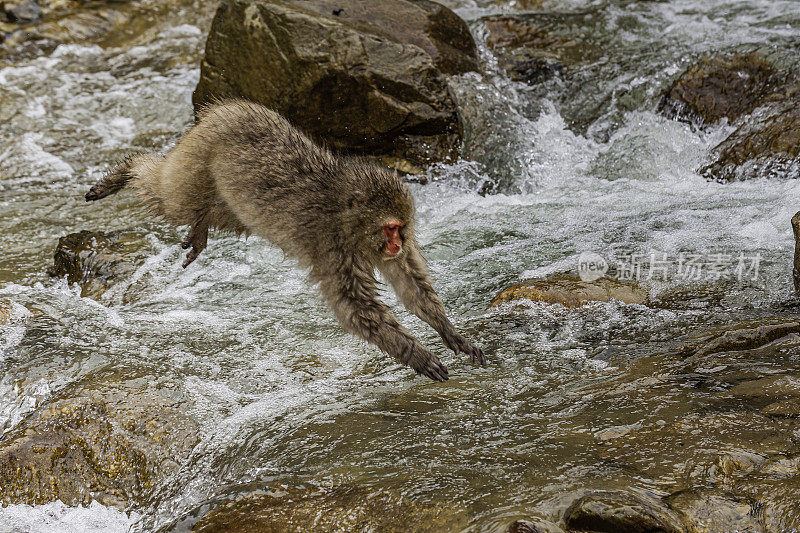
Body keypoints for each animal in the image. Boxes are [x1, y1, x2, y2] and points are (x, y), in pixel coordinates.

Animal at [87, 100, 488, 380]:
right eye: (389, 228)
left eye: (401, 228)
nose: (397, 244)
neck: (346, 220)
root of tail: (221, 111)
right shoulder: (333, 249)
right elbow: (356, 310)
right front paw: (418, 355)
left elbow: (411, 285)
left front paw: (450, 333)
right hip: (197, 159)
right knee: (171, 197)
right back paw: (124, 171)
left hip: (227, 192)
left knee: (222, 213)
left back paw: (200, 226)